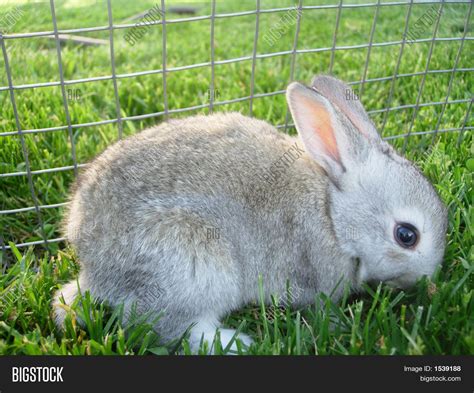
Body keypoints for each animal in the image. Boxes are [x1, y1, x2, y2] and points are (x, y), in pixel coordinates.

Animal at [51, 76, 448, 352]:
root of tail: (94, 270)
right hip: (194, 263)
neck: (333, 214)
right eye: (407, 235)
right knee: (158, 325)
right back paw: (236, 343)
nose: (427, 280)